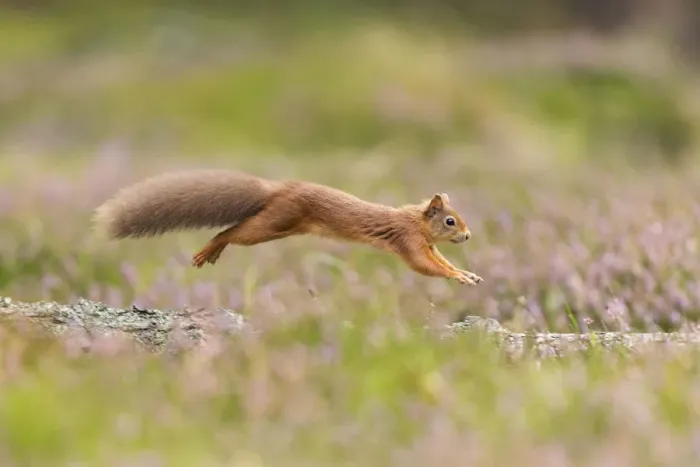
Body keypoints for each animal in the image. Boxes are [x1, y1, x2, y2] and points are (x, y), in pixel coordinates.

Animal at [93, 169, 483, 285]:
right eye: (450, 220)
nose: (467, 236)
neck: (415, 220)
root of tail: (279, 188)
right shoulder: (408, 241)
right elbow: (425, 267)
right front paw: (459, 278)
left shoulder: (427, 245)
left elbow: (440, 262)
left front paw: (467, 273)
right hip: (272, 224)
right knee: (229, 232)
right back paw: (208, 250)